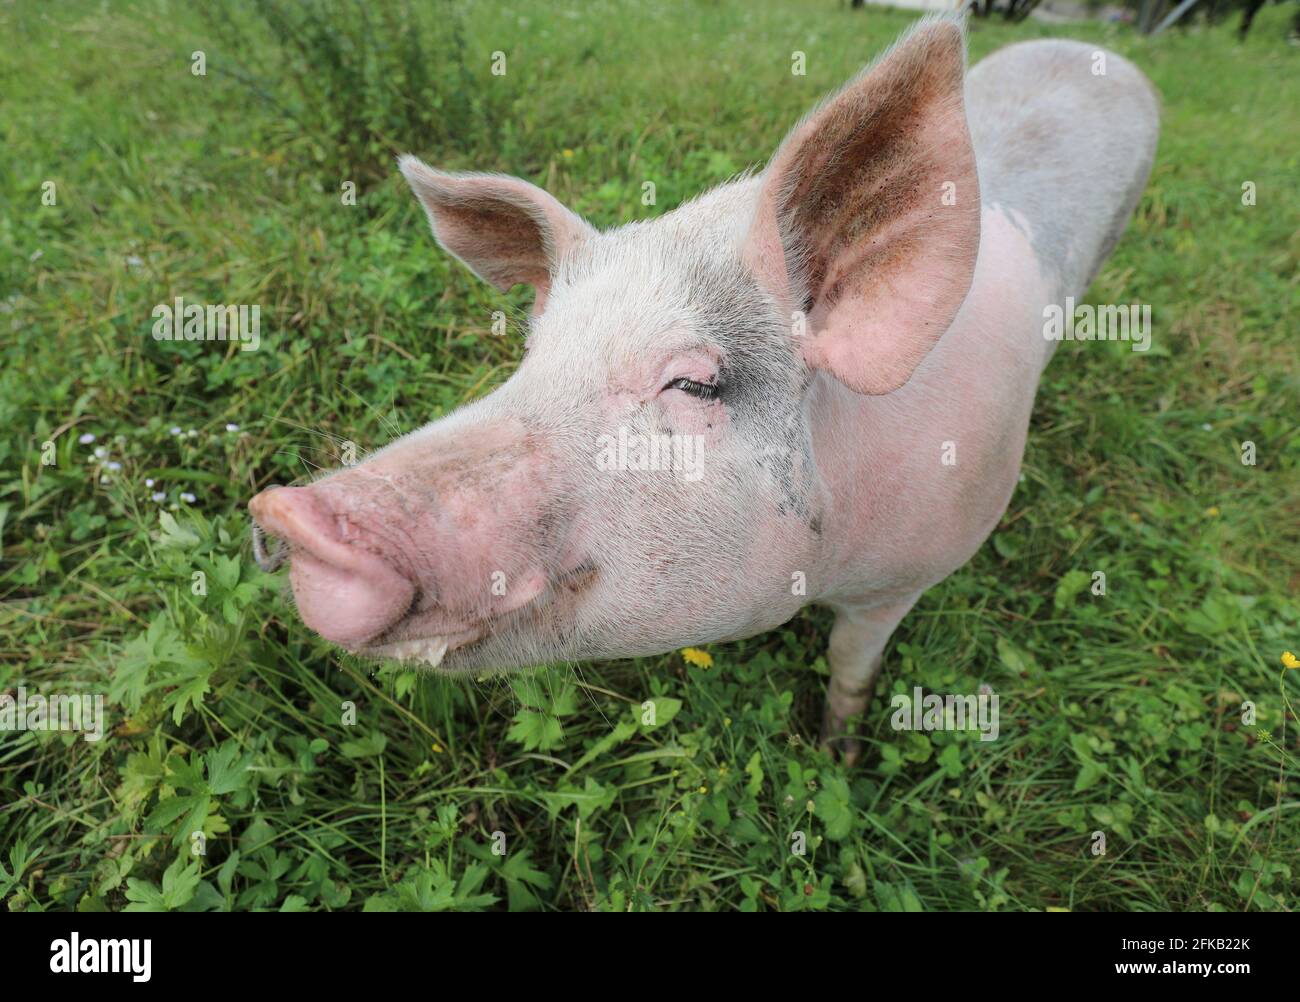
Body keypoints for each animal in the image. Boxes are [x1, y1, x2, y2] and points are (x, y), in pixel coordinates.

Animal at [249, 16, 1159, 762]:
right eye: (533, 357)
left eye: (692, 382)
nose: (287, 512)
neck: (826, 564)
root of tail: (1098, 51)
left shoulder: (908, 577)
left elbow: (850, 664)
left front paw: (836, 753)